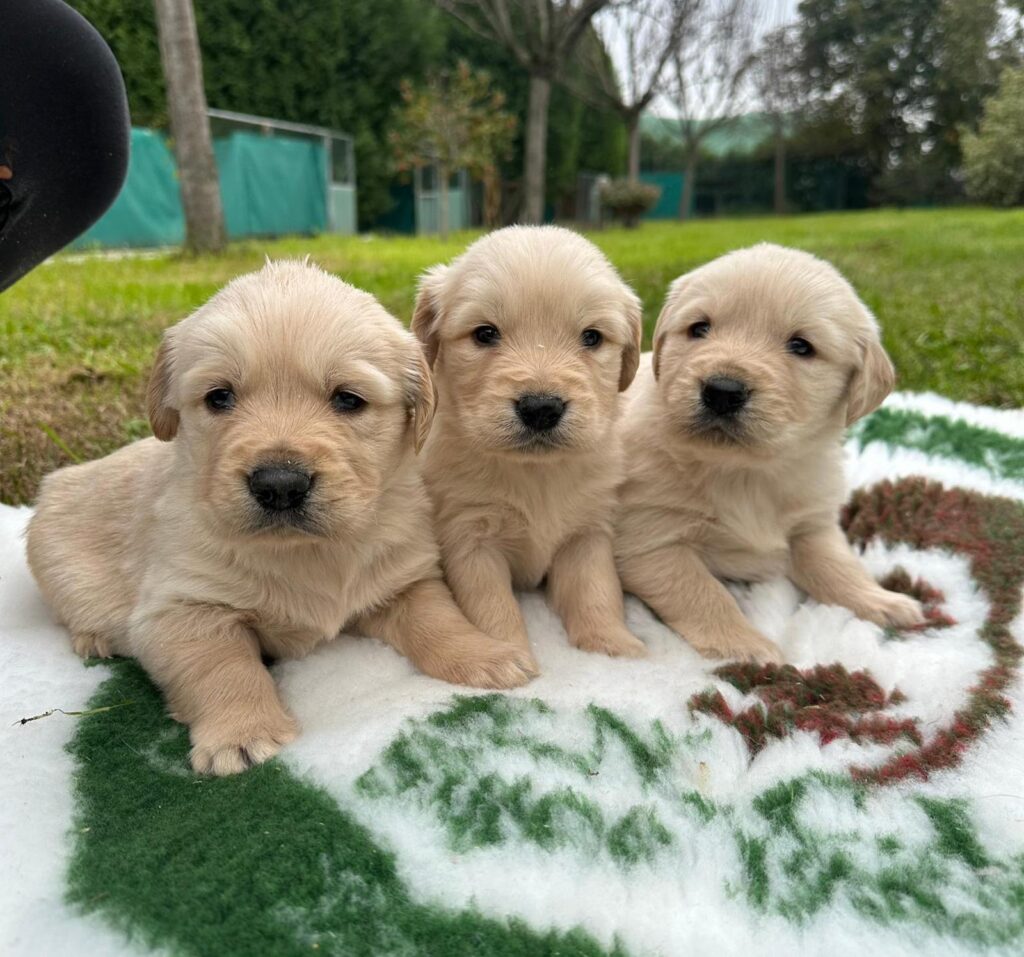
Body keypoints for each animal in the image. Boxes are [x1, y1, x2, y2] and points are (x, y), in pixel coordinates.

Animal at [24, 262, 536, 777]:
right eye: (219, 397)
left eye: (348, 399)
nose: (280, 484)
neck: (306, 551)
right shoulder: (181, 606)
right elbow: (222, 665)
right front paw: (243, 732)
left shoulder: (405, 579)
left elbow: (438, 618)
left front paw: (486, 655)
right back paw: (94, 638)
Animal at [411, 228, 643, 671]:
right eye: (485, 333)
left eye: (592, 337)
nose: (541, 408)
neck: (535, 472)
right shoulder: (469, 537)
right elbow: (491, 605)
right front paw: (507, 654)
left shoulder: (587, 532)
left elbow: (596, 590)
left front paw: (612, 645)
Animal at [614, 246, 929, 663]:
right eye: (699, 328)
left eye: (801, 346)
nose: (722, 390)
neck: (745, 472)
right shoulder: (650, 539)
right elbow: (703, 593)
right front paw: (745, 644)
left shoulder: (813, 522)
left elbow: (838, 564)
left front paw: (879, 600)